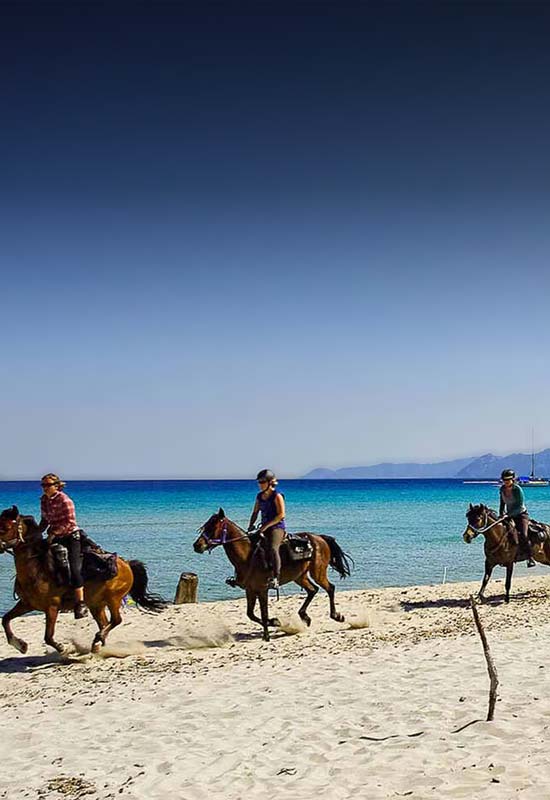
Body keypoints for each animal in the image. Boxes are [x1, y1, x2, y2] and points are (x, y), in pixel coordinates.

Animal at [0, 506, 166, 656]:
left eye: (5, 527)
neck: (37, 568)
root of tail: (126, 563)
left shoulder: (52, 607)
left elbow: (48, 636)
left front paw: (62, 648)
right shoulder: (26, 604)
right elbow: (5, 619)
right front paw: (20, 645)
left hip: (113, 598)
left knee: (116, 620)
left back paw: (98, 639)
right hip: (96, 604)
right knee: (105, 623)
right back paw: (98, 644)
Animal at [192, 506, 354, 644]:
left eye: (213, 527)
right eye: (205, 526)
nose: (196, 545)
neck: (248, 556)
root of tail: (319, 538)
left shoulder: (262, 589)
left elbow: (263, 613)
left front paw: (267, 635)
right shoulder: (250, 590)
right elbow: (250, 614)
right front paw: (275, 622)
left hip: (318, 572)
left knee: (330, 588)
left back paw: (336, 616)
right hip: (299, 576)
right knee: (313, 590)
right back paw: (305, 617)